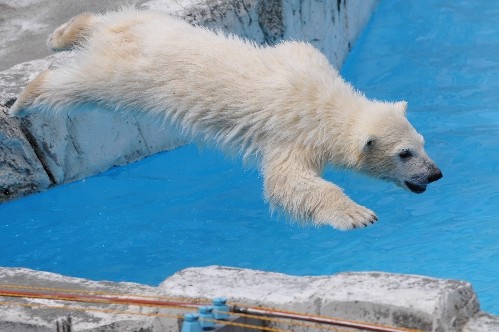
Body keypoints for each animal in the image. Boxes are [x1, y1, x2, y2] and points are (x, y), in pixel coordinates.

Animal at [10, 8, 442, 231]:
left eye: (422, 143)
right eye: (405, 154)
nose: (435, 174)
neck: (325, 102)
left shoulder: (307, 58)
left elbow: (296, 46)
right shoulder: (293, 137)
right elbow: (288, 184)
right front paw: (356, 215)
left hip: (150, 25)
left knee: (110, 18)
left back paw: (64, 33)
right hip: (128, 78)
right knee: (82, 86)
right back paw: (25, 99)